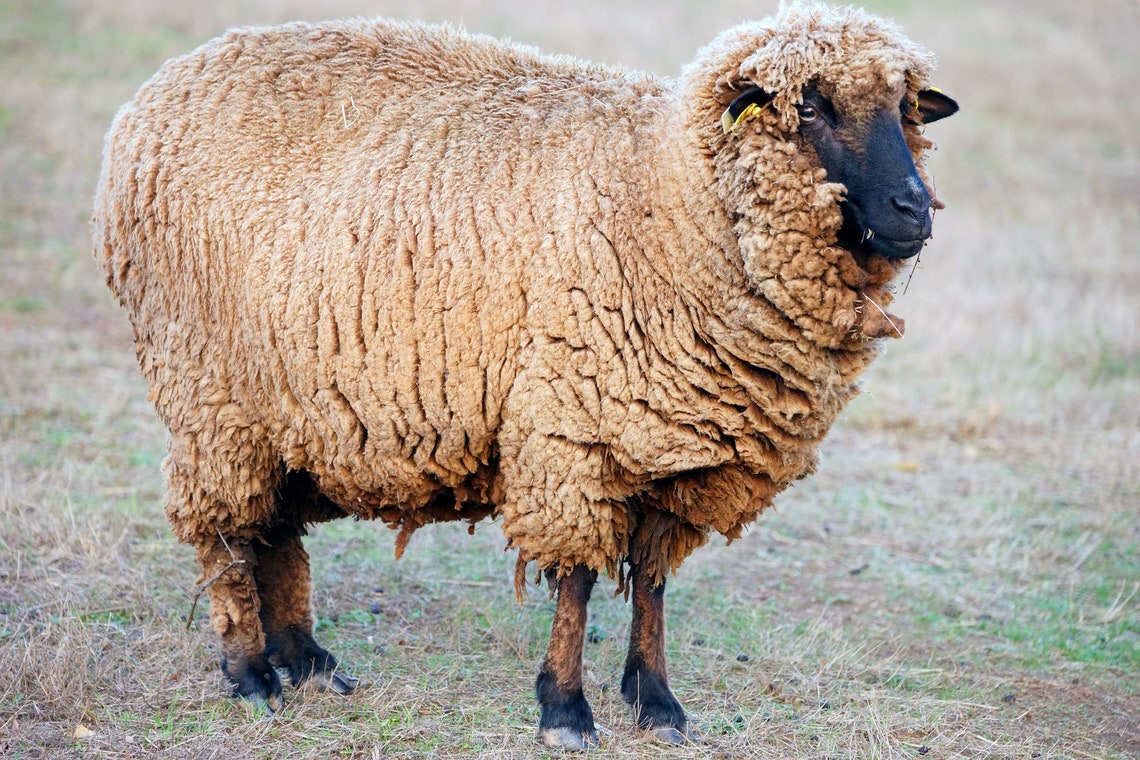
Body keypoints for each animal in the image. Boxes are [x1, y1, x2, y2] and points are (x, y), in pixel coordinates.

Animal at [91, 2, 957, 750]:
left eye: (905, 107)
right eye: (809, 107)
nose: (915, 210)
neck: (665, 195)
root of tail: (155, 92)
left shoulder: (676, 440)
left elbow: (651, 581)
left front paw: (657, 701)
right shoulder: (571, 424)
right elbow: (575, 578)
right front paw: (566, 709)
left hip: (286, 403)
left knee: (272, 525)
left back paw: (307, 660)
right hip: (210, 389)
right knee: (225, 530)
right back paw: (250, 674)